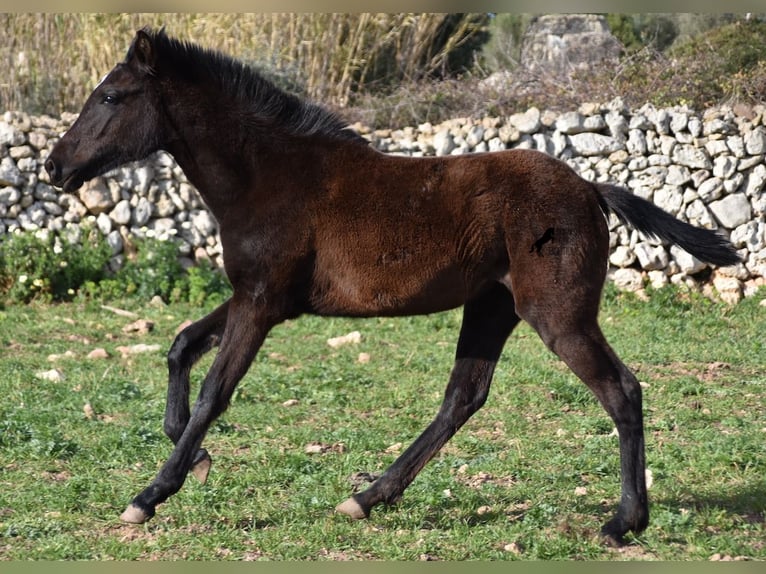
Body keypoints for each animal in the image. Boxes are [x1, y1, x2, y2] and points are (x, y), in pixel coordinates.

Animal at [45, 28, 740, 548]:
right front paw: (199, 459)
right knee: (464, 396)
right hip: (492, 307)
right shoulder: (258, 296)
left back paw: (624, 523)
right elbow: (182, 346)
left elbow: (216, 389)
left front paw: (149, 495)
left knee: (620, 390)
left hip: (557, 312)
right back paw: (367, 497)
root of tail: (591, 189)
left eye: (111, 96)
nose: (55, 166)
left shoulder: (262, 303)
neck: (269, 176)